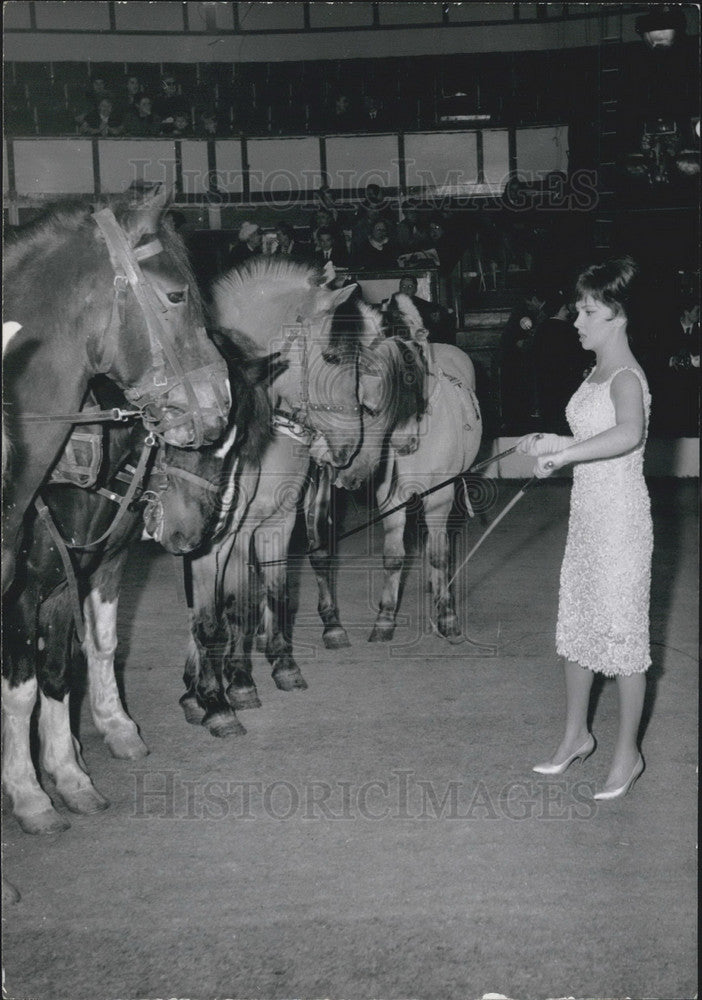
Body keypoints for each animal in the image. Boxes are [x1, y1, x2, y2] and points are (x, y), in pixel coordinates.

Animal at [0, 346, 272, 836]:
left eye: (234, 441)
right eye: (183, 435)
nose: (194, 535)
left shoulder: (88, 573)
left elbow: (79, 659)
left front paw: (85, 757)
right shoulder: (23, 597)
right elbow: (21, 689)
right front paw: (29, 793)